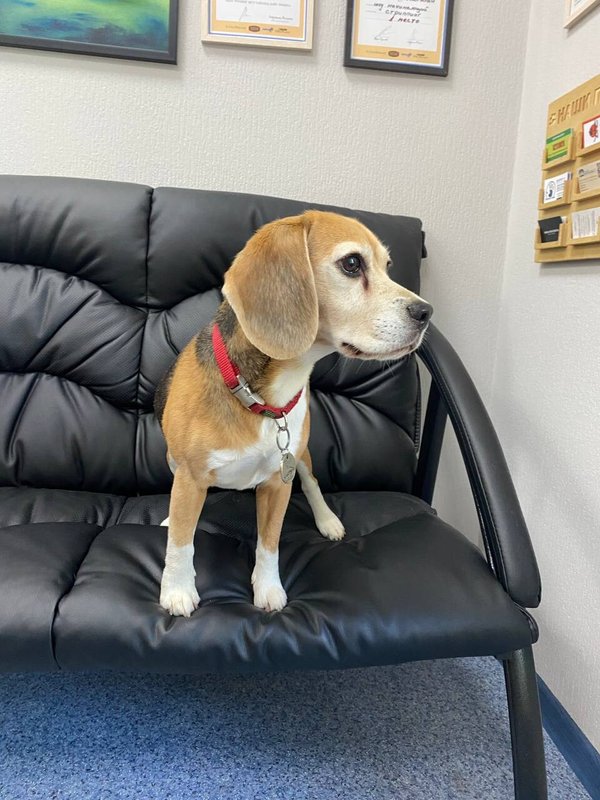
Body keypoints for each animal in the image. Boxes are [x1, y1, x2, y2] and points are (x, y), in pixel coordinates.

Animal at [153, 210, 432, 617]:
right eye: (352, 263)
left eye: (387, 267)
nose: (426, 312)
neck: (263, 398)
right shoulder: (190, 478)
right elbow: (180, 542)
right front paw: (176, 589)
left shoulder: (278, 483)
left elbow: (269, 544)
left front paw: (269, 589)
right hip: (174, 460)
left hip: (300, 455)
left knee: (312, 482)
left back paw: (328, 520)